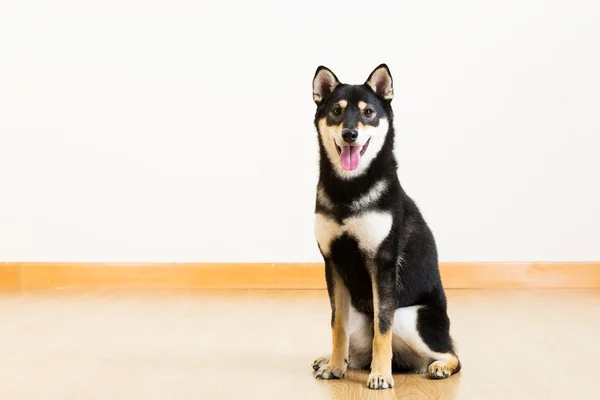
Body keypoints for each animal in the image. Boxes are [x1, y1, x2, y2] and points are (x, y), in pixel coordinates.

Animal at [310, 64, 460, 390]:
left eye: (368, 112)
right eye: (336, 111)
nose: (350, 133)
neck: (348, 190)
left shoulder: (382, 264)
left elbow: (383, 326)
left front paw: (380, 374)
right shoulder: (333, 264)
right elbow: (336, 324)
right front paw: (334, 367)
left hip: (410, 316)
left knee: (453, 354)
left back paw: (438, 366)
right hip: (357, 312)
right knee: (351, 346)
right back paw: (331, 360)